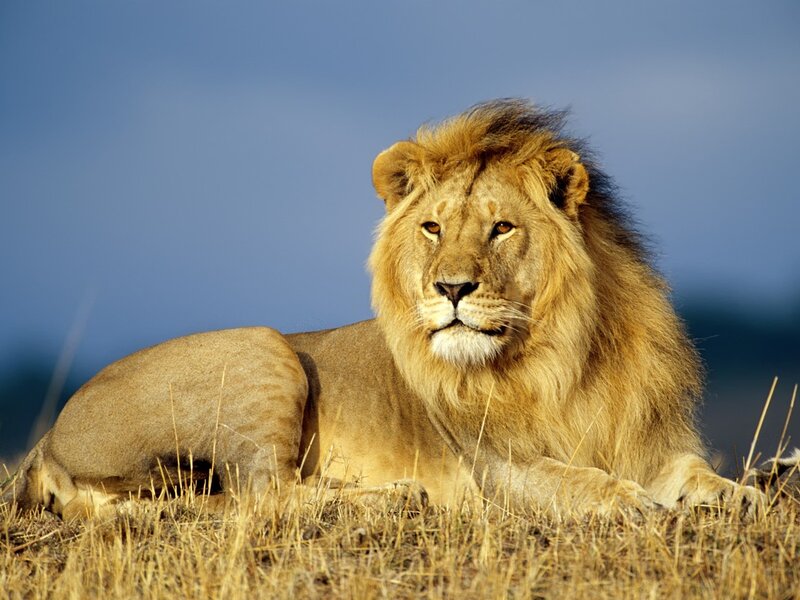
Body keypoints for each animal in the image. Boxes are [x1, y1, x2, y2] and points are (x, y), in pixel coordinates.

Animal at [2, 99, 766, 520]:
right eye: (432, 228)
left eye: (501, 228)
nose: (451, 289)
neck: (564, 355)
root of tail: (48, 437)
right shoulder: (495, 468)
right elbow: (573, 478)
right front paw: (626, 500)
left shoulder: (650, 440)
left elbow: (693, 472)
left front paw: (740, 495)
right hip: (262, 348)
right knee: (261, 496)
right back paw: (394, 497)